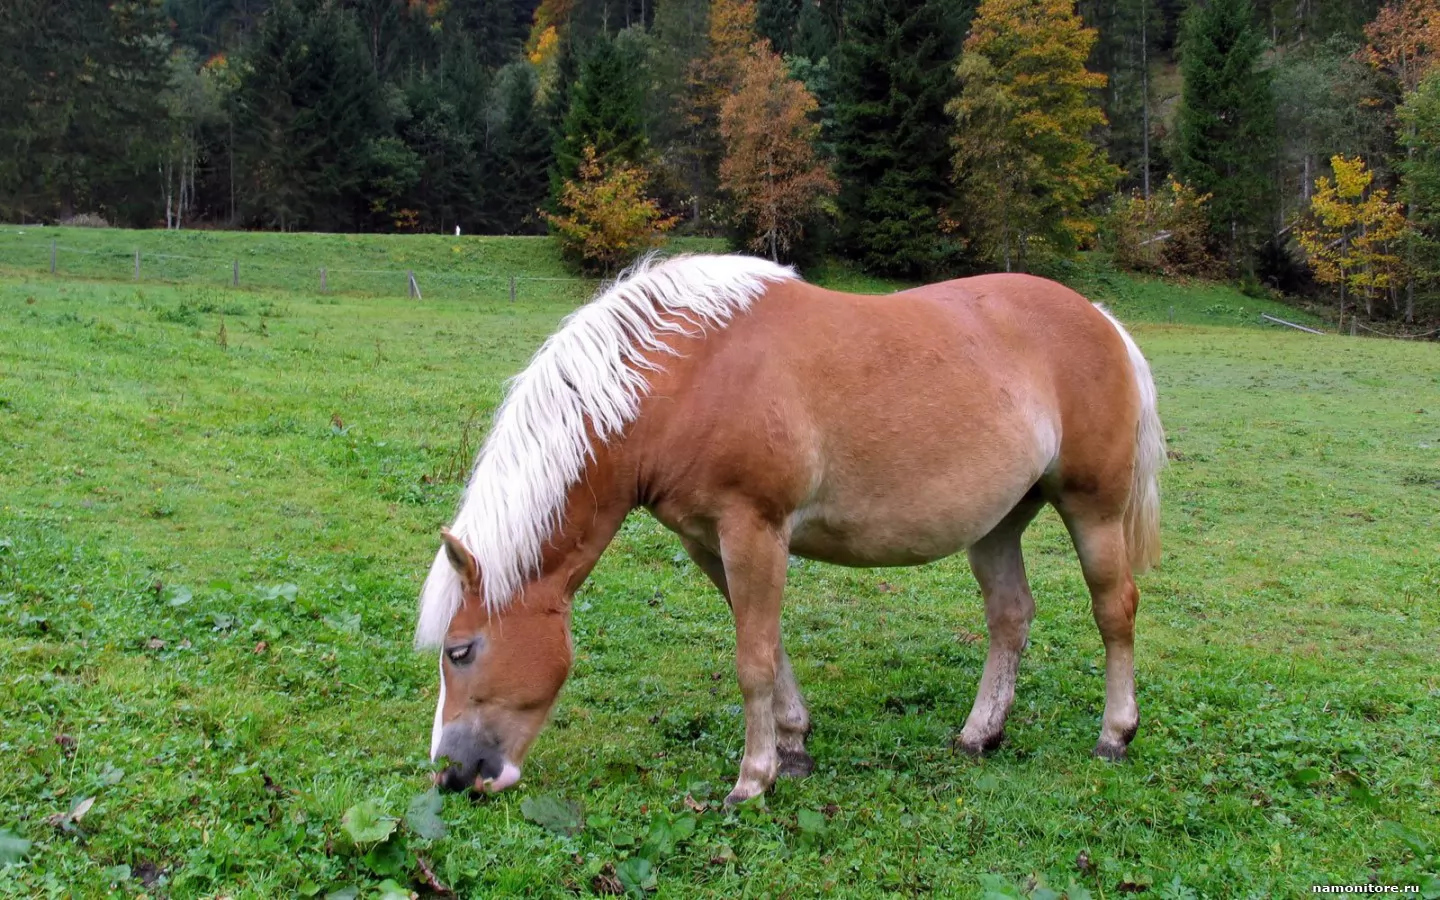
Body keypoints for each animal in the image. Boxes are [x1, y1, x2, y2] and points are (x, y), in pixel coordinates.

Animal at [420, 250, 1163, 800]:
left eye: (461, 651)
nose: (456, 776)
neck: (689, 373)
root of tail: (1102, 320)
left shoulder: (754, 530)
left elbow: (751, 659)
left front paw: (754, 779)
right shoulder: (708, 542)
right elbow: (768, 646)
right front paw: (794, 745)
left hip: (1092, 510)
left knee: (1115, 611)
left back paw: (1114, 735)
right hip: (999, 524)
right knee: (1010, 616)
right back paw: (979, 735)